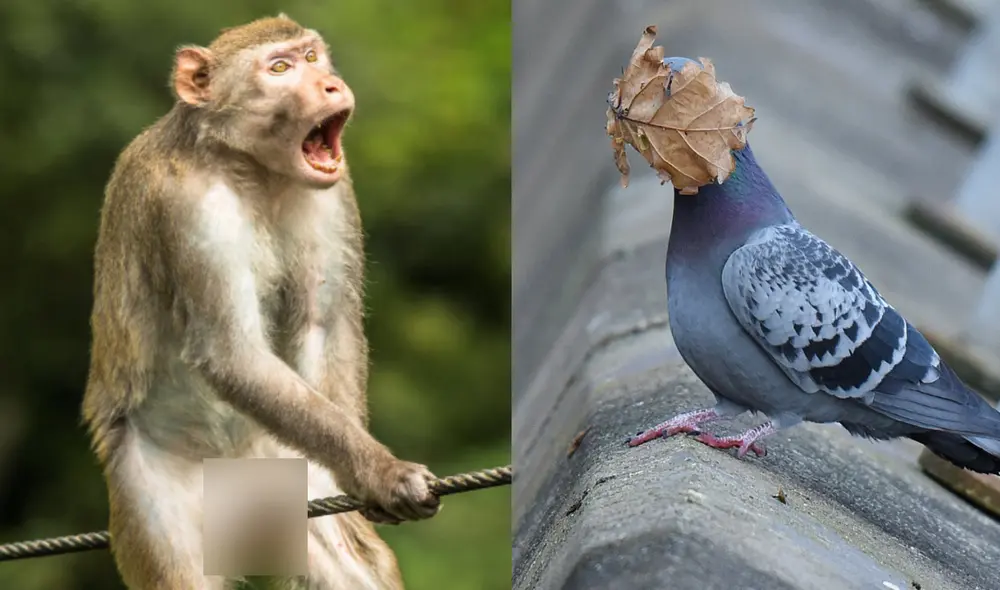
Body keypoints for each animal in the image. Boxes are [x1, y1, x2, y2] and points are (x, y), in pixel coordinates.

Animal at [81, 14, 441, 590]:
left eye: (312, 57)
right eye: (279, 69)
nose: (330, 85)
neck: (248, 169)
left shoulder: (334, 193)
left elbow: (322, 324)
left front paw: (360, 477)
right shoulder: (187, 208)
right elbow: (231, 352)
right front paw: (382, 472)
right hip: (153, 497)